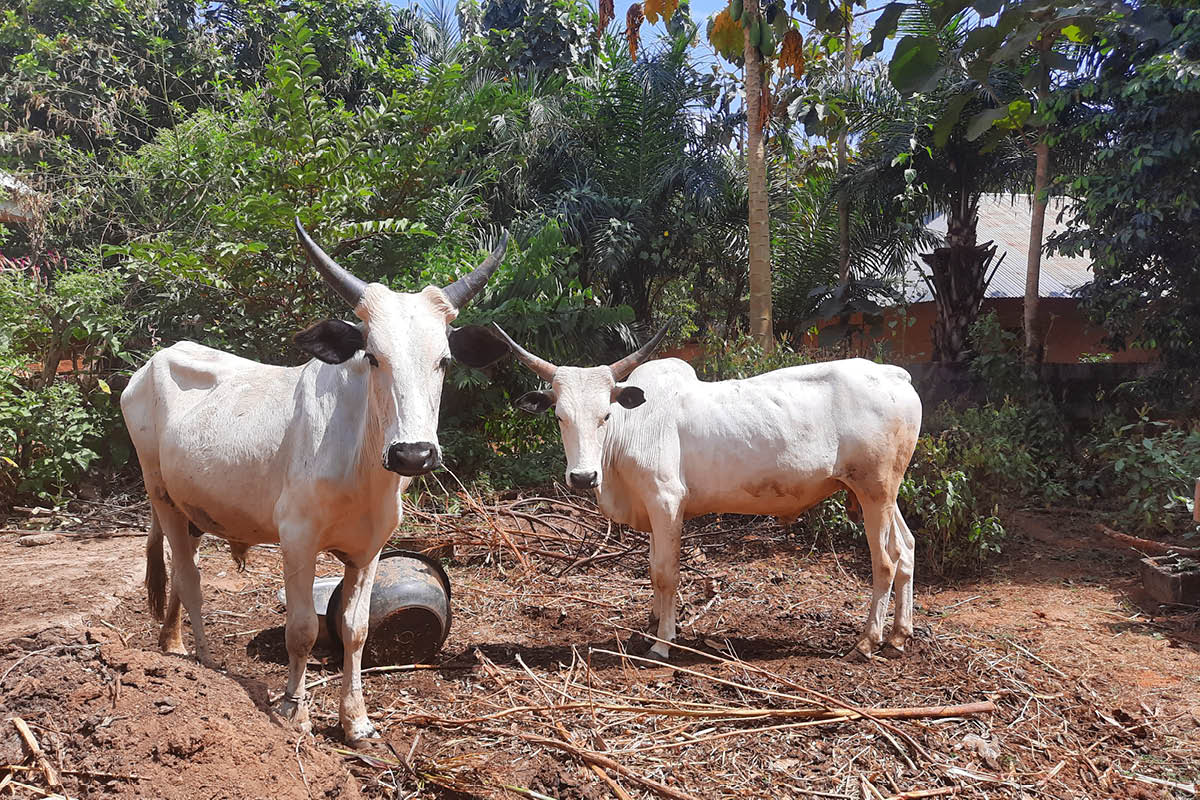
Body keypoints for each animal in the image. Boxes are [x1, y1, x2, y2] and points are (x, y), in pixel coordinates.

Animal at [120, 218, 510, 743]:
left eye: (444, 361)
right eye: (372, 357)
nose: (413, 454)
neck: (361, 466)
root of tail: (150, 364)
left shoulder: (370, 548)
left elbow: (356, 629)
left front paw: (356, 719)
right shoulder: (297, 539)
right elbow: (302, 628)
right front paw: (296, 710)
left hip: (191, 510)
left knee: (184, 575)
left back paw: (172, 643)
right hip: (159, 492)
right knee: (189, 578)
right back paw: (204, 664)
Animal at [491, 325, 923, 662]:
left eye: (605, 415)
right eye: (559, 416)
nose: (583, 477)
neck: (631, 425)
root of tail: (896, 376)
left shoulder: (666, 502)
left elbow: (666, 572)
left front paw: (662, 643)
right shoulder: (653, 510)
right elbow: (652, 568)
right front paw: (652, 624)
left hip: (874, 489)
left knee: (885, 562)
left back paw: (867, 642)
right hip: (882, 493)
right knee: (905, 549)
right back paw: (899, 636)